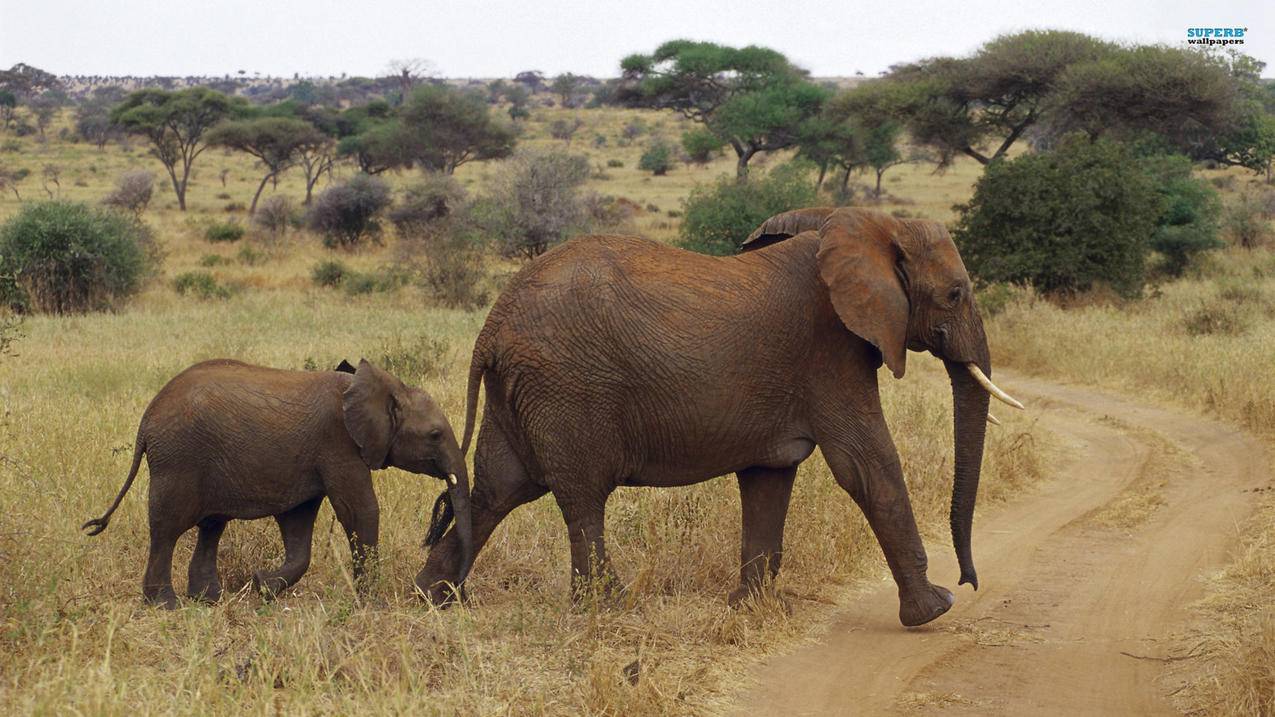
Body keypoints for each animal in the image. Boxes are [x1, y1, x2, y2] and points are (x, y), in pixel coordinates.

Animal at [83, 354, 474, 602]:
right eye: (435, 435)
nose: (451, 595)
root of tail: (146, 423)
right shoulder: (339, 443)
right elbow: (359, 510)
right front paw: (371, 604)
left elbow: (297, 523)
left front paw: (262, 586)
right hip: (177, 460)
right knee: (167, 529)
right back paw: (165, 604)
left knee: (211, 526)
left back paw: (208, 600)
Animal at [423, 204, 1020, 622]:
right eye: (955, 294)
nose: (969, 582)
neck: (866, 221)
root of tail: (493, 324)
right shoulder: (830, 352)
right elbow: (867, 466)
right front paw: (933, 610)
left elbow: (769, 477)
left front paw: (752, 609)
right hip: (567, 386)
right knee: (581, 497)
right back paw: (609, 608)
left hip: (521, 390)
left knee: (498, 489)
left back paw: (433, 597)